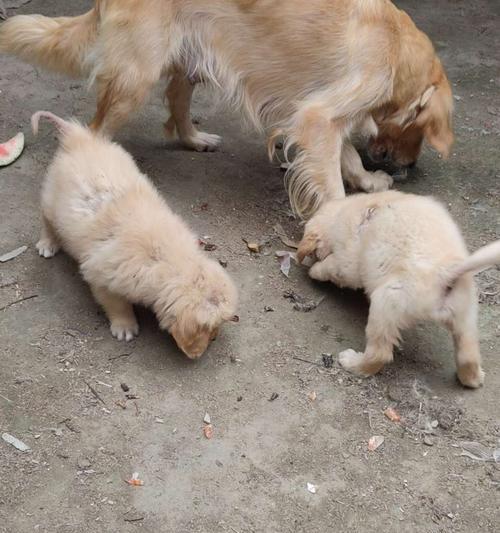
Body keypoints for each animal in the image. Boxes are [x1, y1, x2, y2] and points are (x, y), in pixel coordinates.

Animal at [31, 112, 238, 360]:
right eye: (210, 328)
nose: (213, 339)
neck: (168, 260)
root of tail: (79, 138)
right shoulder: (103, 279)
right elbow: (117, 305)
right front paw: (125, 327)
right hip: (51, 202)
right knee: (46, 222)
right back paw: (47, 244)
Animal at [296, 191, 500, 386]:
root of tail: (446, 270)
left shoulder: (346, 263)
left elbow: (330, 267)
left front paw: (314, 270)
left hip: (386, 302)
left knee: (379, 354)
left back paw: (352, 362)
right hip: (465, 315)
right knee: (468, 355)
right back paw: (473, 378)